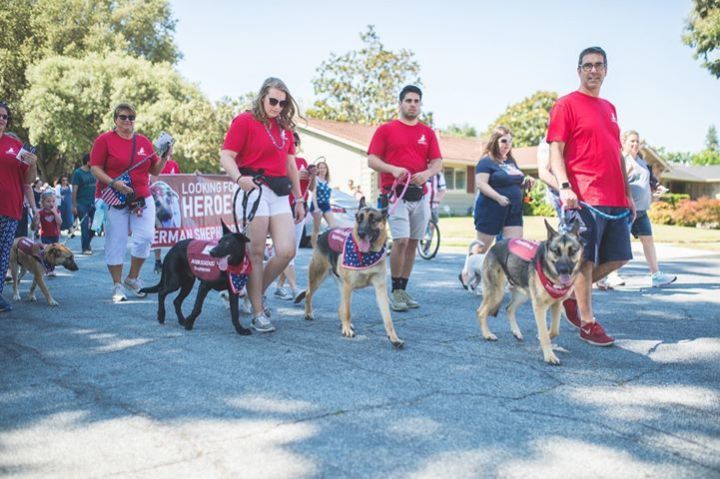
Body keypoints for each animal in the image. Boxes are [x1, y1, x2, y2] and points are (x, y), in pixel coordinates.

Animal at [294, 199, 402, 348]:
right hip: (319, 277)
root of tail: (324, 234)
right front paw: (346, 330)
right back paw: (309, 314)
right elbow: (348, 312)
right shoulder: (348, 286)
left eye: (373, 220)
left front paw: (394, 338)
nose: (361, 233)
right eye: (359, 219)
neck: (367, 254)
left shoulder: (380, 289)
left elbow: (387, 317)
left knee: (340, 307)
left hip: (341, 286)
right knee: (309, 293)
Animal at [476, 219, 584, 366]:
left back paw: (516, 332)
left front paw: (543, 337)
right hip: (497, 293)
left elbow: (554, 330)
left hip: (523, 295)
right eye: (556, 251)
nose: (564, 270)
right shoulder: (539, 307)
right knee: (481, 312)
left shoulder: (556, 304)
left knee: (509, 309)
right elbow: (545, 334)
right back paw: (487, 335)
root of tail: (495, 246)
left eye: (572, 251)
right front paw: (549, 356)